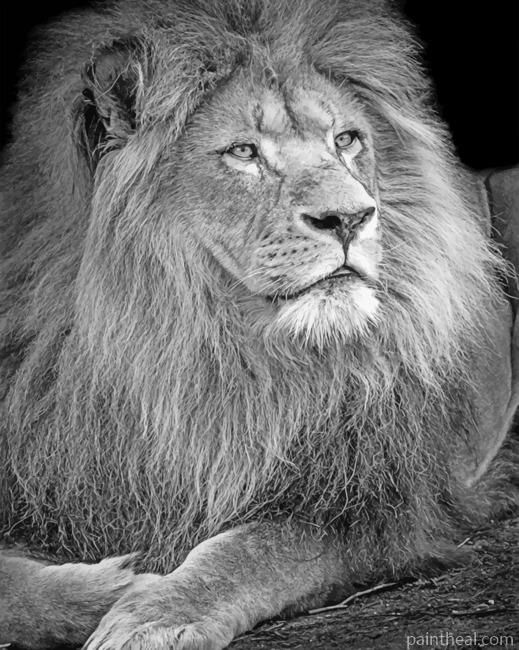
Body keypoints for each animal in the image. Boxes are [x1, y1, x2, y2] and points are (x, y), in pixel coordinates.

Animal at [0, 0, 518, 648]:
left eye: (346, 139)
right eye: (244, 152)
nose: (350, 217)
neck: (212, 345)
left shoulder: (372, 511)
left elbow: (250, 552)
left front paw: (156, 610)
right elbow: (9, 586)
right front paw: (111, 587)